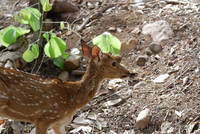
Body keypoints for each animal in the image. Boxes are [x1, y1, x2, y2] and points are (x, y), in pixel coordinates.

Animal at [0, 40, 130, 133]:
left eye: (117, 59)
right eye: (114, 63)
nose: (128, 72)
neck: (72, 99)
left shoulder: (59, 123)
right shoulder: (44, 119)